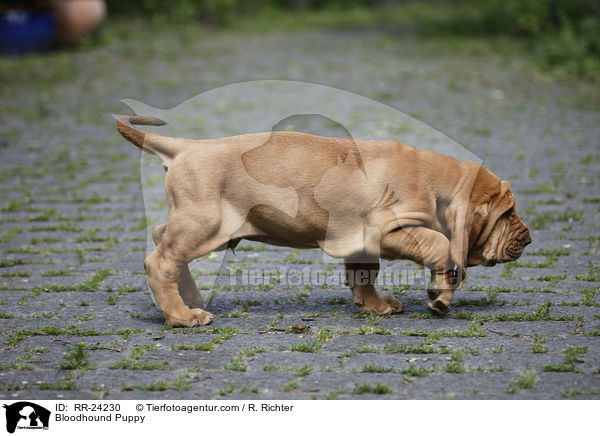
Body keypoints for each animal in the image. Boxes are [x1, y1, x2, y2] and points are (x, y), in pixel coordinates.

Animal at [119, 116, 532, 328]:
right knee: (159, 260)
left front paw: (375, 306)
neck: (438, 182)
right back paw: (182, 316)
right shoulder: (389, 229)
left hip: (196, 222)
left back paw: (188, 299)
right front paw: (441, 296)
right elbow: (442, 246)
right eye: (508, 214)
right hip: (206, 223)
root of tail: (186, 147)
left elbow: (363, 274)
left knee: (162, 239)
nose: (527, 239)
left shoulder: (361, 240)